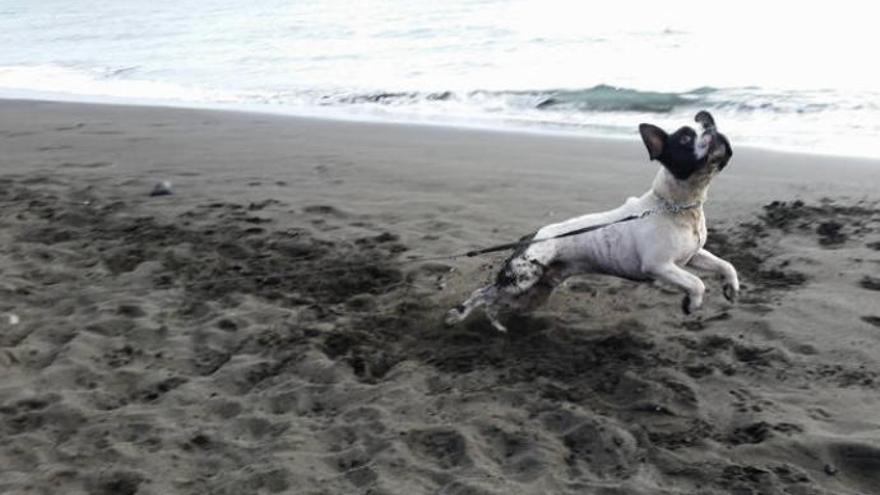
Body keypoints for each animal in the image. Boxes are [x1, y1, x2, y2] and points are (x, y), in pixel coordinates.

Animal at [444, 110, 740, 332]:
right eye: (685, 138)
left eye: (709, 124)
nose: (713, 131)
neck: (677, 205)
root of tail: (531, 237)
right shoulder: (660, 266)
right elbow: (697, 283)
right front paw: (692, 303)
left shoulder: (693, 255)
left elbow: (725, 264)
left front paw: (731, 287)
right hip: (521, 280)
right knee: (483, 294)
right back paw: (460, 314)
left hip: (534, 292)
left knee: (496, 301)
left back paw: (498, 324)